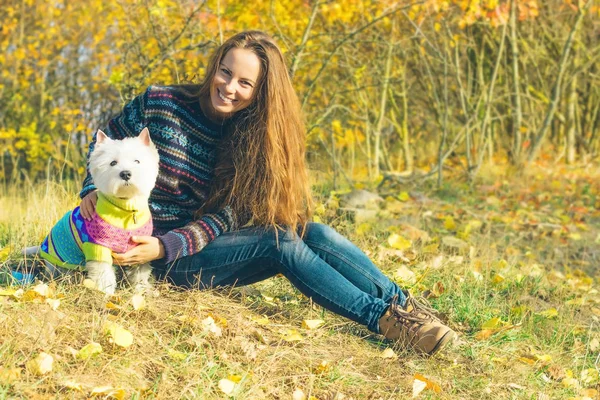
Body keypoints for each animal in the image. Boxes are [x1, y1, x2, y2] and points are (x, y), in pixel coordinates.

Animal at [28, 128, 159, 294]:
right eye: (113, 163)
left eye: (137, 161)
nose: (125, 173)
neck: (127, 209)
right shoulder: (98, 247)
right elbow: (103, 273)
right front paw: (106, 292)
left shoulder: (140, 248)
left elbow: (140, 272)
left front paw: (142, 289)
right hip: (61, 261)